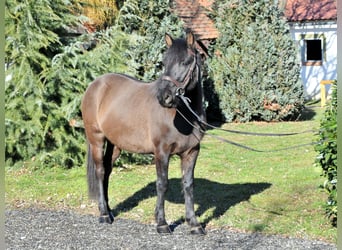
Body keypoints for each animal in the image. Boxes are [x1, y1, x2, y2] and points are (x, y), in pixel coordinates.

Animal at [81, 31, 206, 234]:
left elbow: (188, 185)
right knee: (100, 171)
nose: (164, 97)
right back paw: (104, 215)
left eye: (185, 62)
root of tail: (95, 85)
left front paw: (194, 224)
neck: (184, 115)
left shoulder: (191, 152)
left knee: (107, 171)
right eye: (164, 62)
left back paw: (109, 210)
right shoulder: (161, 152)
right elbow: (162, 184)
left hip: (115, 144)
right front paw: (162, 223)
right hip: (96, 139)